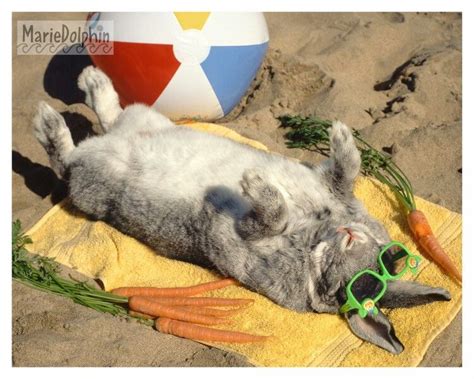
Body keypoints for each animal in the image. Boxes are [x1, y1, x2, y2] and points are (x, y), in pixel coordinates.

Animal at [34, 65, 452, 354]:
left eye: (359, 285)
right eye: (387, 258)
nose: (350, 235)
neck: (315, 238)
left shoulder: (246, 237)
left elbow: (272, 215)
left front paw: (252, 183)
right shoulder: (331, 189)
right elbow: (346, 170)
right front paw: (341, 133)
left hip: (93, 180)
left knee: (67, 159)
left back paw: (48, 120)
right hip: (143, 121)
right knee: (110, 116)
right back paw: (92, 81)